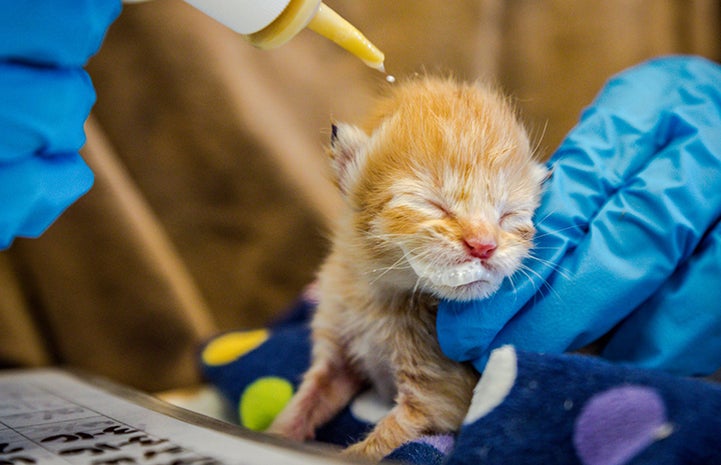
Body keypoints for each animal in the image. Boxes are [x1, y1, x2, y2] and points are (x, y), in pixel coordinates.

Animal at [268, 76, 544, 460]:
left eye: (509, 215)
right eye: (434, 205)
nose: (484, 245)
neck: (380, 296)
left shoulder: (438, 401)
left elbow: (374, 448)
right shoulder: (336, 354)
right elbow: (305, 402)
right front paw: (276, 433)